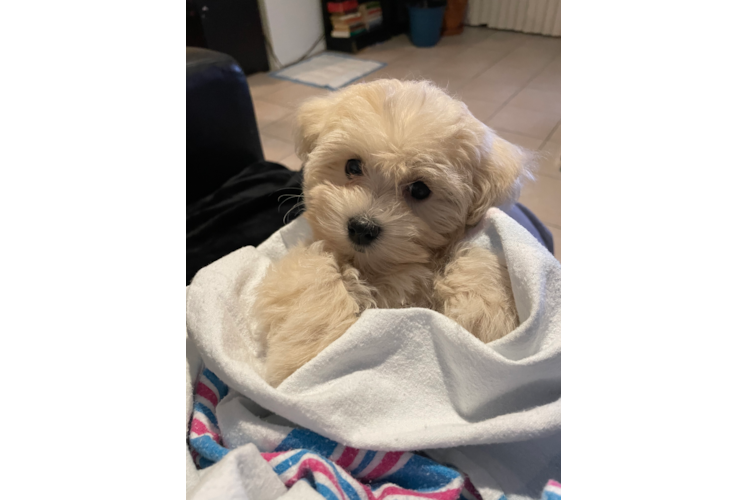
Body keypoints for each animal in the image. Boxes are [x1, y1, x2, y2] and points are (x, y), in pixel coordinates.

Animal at [254, 80, 536, 388]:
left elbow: (474, 258)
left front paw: (486, 314)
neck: (379, 269)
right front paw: (304, 354)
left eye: (420, 190)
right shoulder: (305, 261)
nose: (362, 227)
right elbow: (314, 275)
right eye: (352, 166)